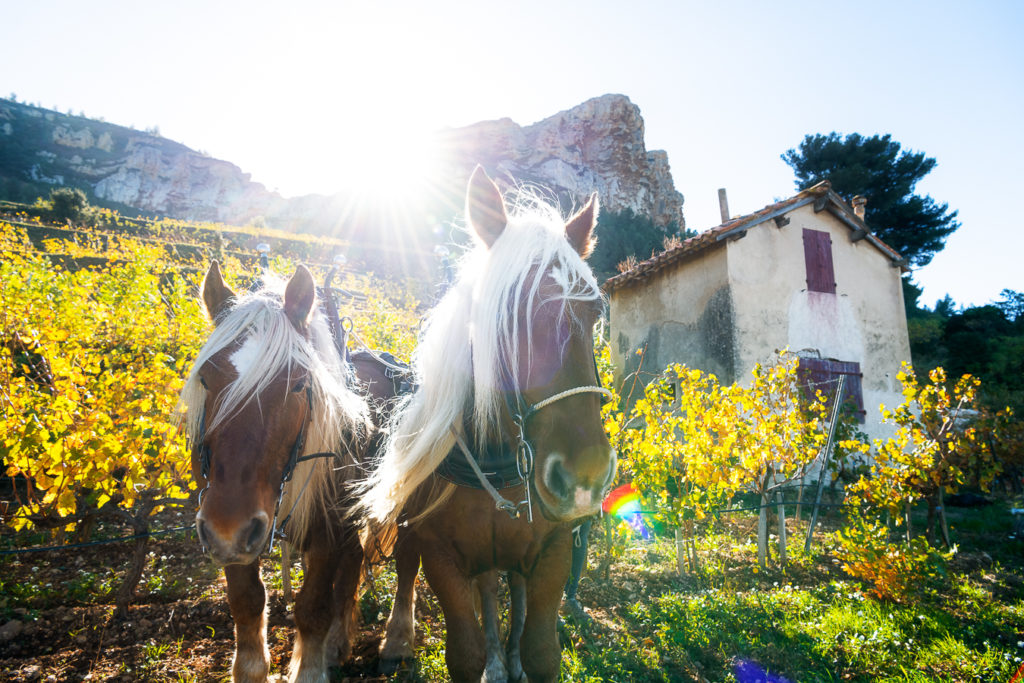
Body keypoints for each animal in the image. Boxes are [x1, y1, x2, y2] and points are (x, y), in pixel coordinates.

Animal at [178, 262, 373, 683]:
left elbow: (314, 606)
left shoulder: (329, 527)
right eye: (206, 379)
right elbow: (246, 601)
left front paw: (312, 666)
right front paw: (252, 668)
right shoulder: (232, 533)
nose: (227, 526)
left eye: (299, 384)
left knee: (352, 570)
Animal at [360, 166, 616, 682]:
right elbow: (465, 650)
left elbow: (541, 652)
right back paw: (403, 639)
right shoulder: (441, 556)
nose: (584, 477)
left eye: (594, 312)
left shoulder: (554, 549)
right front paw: (487, 658)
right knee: (412, 566)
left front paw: (519, 655)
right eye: (506, 315)